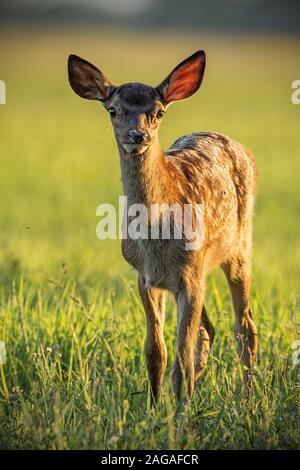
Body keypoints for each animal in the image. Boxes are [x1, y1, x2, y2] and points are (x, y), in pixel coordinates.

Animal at [67, 49, 258, 406]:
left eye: (158, 112)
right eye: (113, 110)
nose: (137, 136)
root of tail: (237, 144)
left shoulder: (190, 275)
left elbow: (182, 354)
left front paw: (180, 413)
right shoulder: (147, 277)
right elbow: (156, 351)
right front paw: (155, 406)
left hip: (238, 249)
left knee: (244, 328)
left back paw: (247, 396)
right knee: (208, 330)